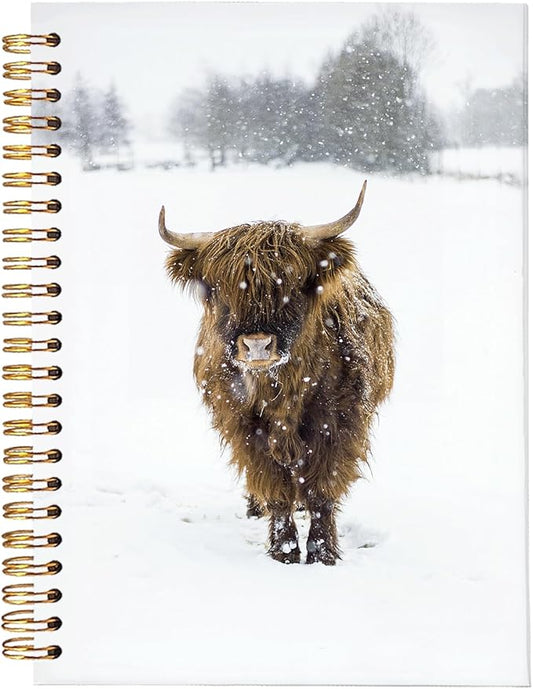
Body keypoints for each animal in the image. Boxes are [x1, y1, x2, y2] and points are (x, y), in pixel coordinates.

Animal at [159, 181, 395, 565]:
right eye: (220, 289)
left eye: (292, 285)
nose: (257, 346)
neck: (283, 390)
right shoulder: (245, 428)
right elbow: (274, 487)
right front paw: (283, 550)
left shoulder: (340, 425)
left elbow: (322, 491)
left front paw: (322, 554)